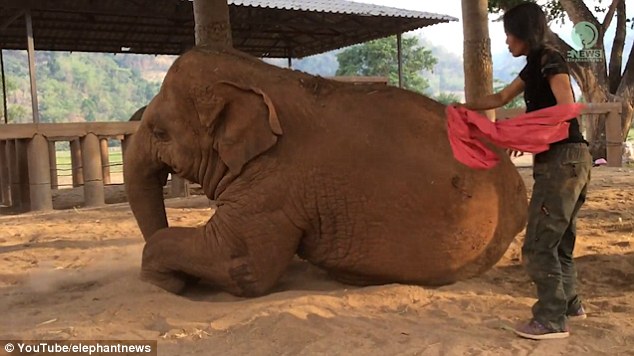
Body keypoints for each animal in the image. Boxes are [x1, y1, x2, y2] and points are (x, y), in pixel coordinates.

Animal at [123, 46, 528, 298]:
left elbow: (243, 264)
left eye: (160, 132)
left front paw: (161, 281)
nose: (182, 282)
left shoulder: (273, 183)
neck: (258, 75)